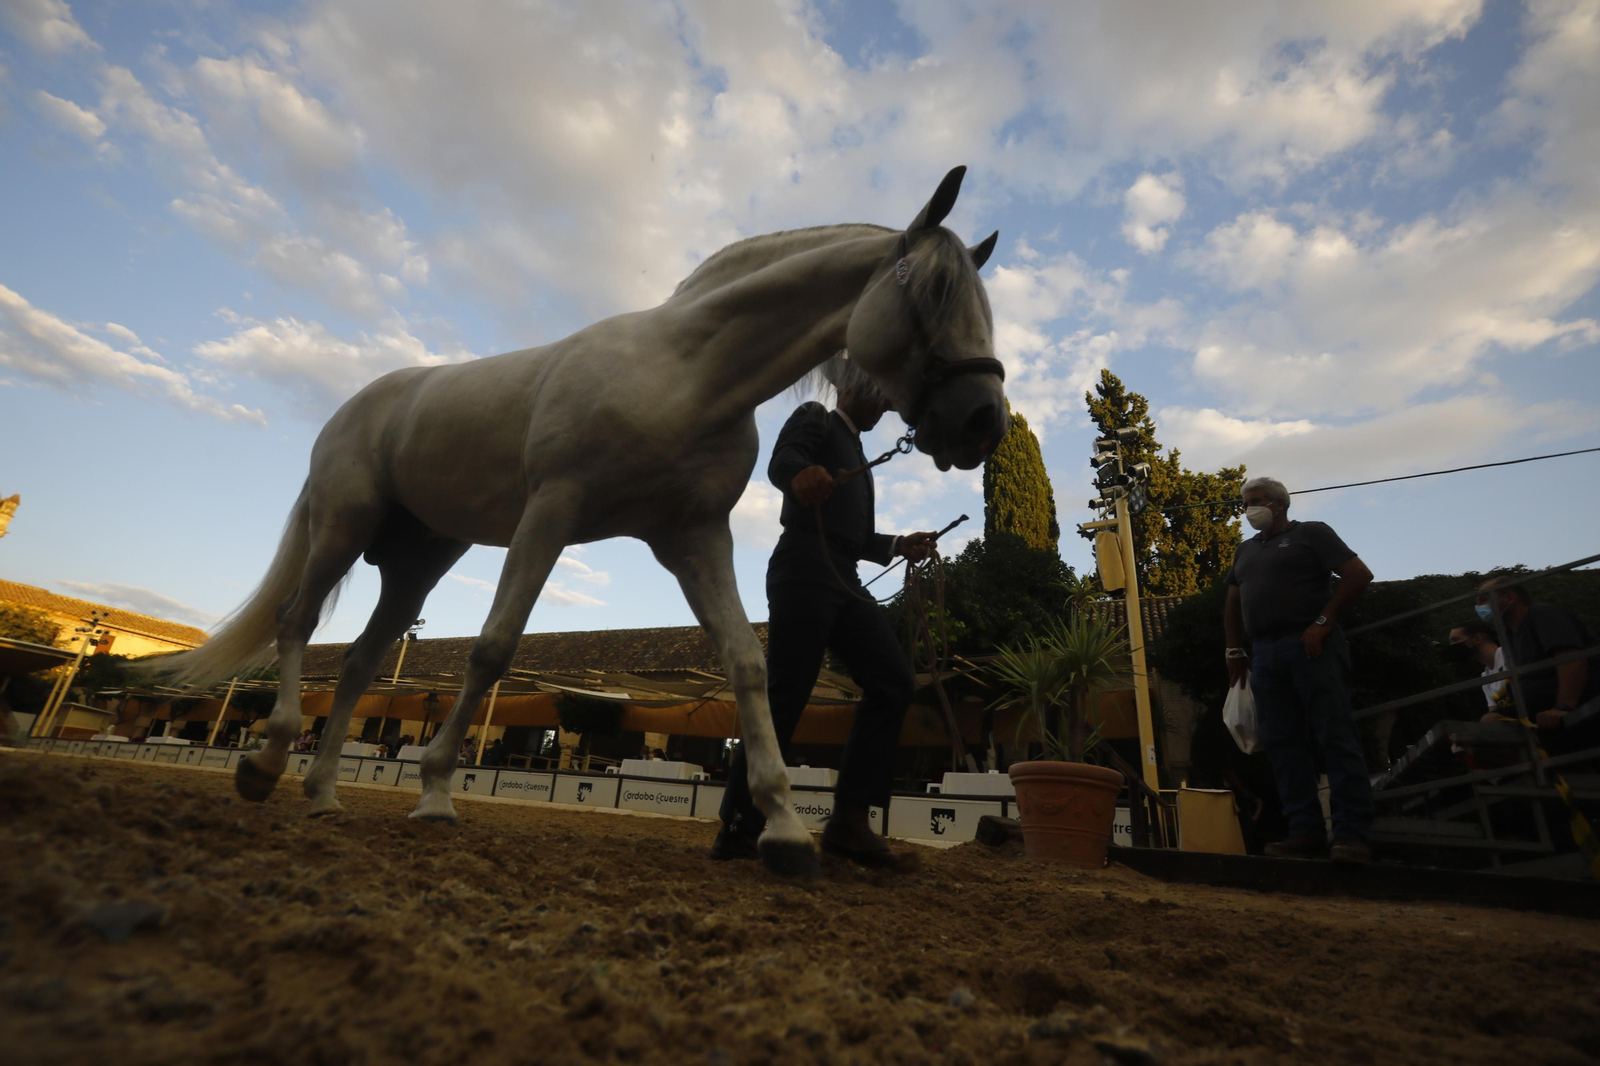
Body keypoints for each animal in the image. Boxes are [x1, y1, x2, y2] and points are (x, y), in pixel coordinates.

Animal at [153, 166, 1009, 879]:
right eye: (934, 292)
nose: (983, 423)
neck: (685, 375)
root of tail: (358, 405)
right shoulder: (552, 512)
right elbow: (493, 649)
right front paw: (434, 794)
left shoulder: (694, 538)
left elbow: (747, 664)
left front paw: (785, 829)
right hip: (343, 523)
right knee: (296, 625)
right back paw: (265, 764)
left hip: (419, 560)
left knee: (363, 663)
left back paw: (325, 793)